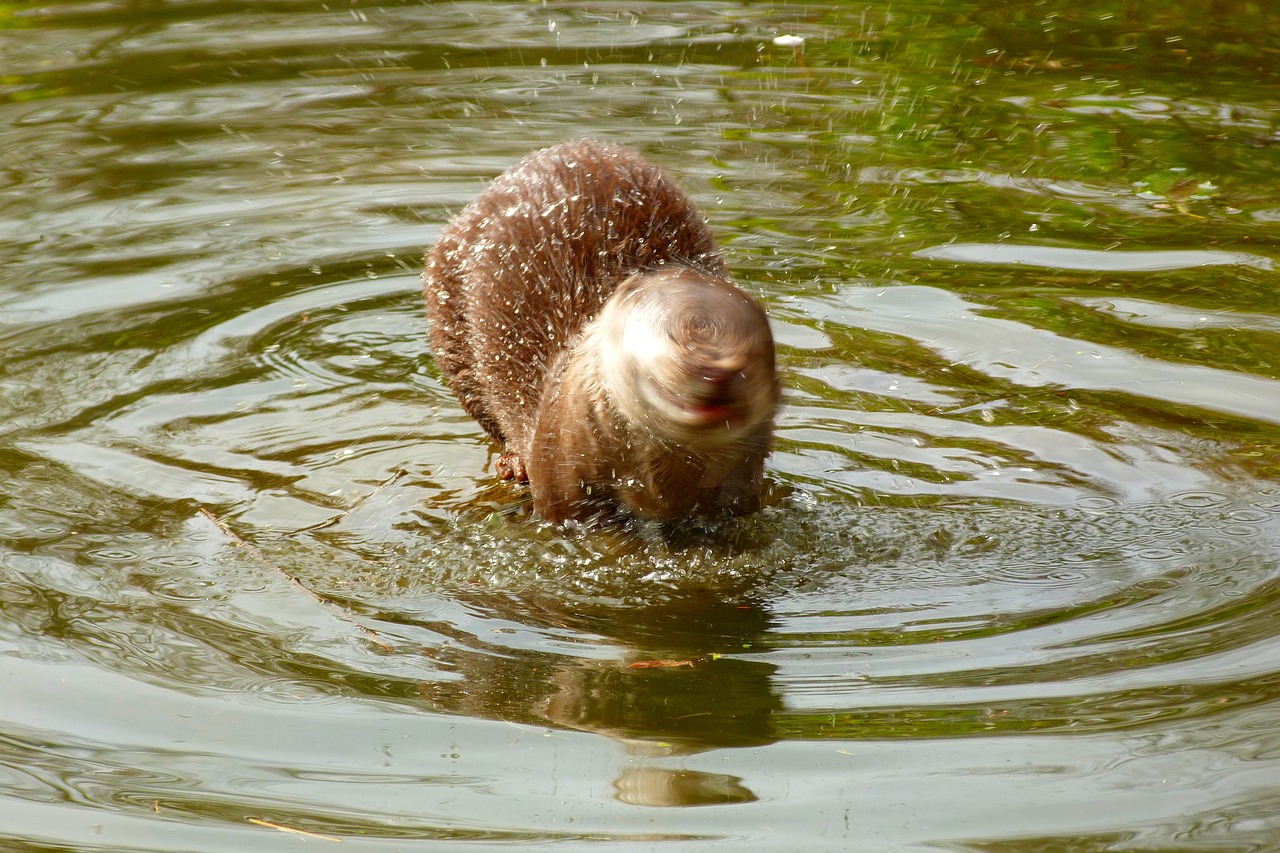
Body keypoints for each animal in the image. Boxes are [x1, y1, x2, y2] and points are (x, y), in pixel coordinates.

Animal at [427, 140, 778, 517]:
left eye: (745, 352)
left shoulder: (743, 483)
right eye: (669, 336)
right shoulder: (560, 473)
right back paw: (514, 463)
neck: (664, 490)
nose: (716, 372)